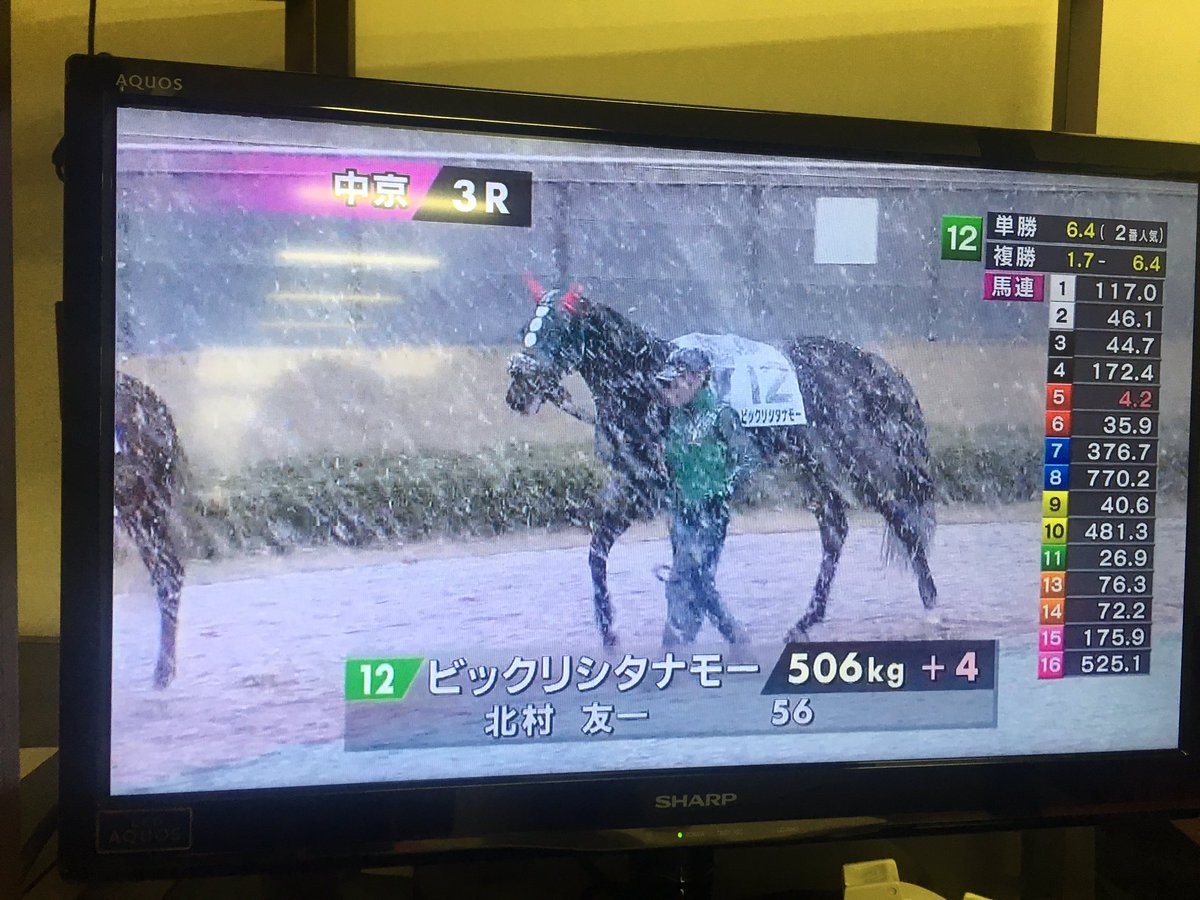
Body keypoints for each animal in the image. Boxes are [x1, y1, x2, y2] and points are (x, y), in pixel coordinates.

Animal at [505, 283, 938, 647]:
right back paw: (806, 620)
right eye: (527, 328)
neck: (650, 385)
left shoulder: (682, 493)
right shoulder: (635, 487)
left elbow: (694, 567)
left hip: (857, 460)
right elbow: (599, 551)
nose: (517, 392)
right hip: (808, 466)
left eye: (557, 330)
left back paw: (930, 602)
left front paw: (714, 629)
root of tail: (870, 365)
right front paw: (612, 632)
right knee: (835, 527)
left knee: (900, 519)